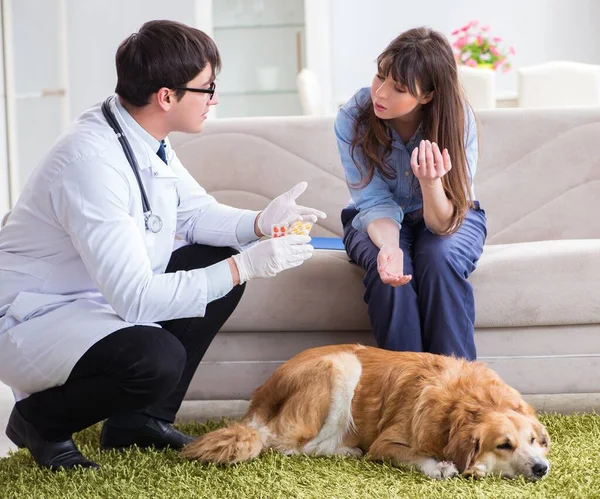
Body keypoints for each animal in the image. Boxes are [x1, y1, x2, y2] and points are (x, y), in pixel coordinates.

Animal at [180, 346, 552, 482]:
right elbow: (415, 456)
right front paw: (441, 466)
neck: (462, 404)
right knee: (288, 444)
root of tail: (263, 392)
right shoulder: (385, 444)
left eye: (534, 440)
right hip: (341, 365)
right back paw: (346, 450)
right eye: (503, 445)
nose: (541, 467)